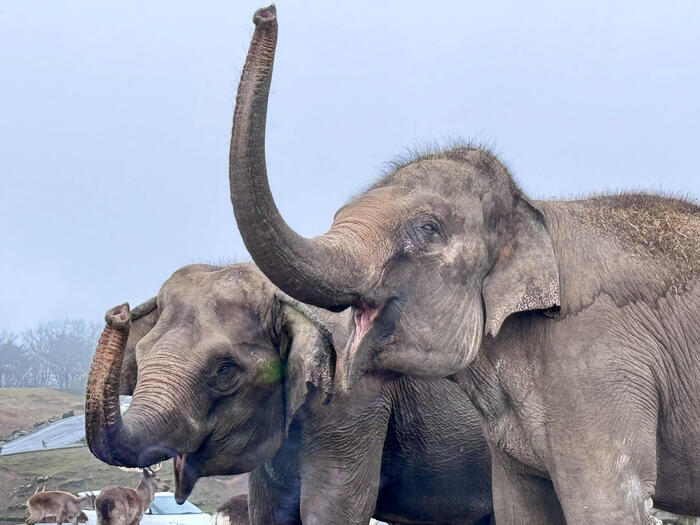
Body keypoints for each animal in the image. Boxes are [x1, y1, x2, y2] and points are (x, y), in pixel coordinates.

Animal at [86, 262, 492, 524]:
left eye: (224, 370)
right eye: (141, 356)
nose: (118, 312)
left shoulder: (356, 402)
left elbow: (331, 512)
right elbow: (269, 511)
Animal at [230, 5, 700, 524]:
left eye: (427, 229)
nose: (265, 12)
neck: (531, 211)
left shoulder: (598, 367)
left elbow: (607, 506)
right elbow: (521, 510)